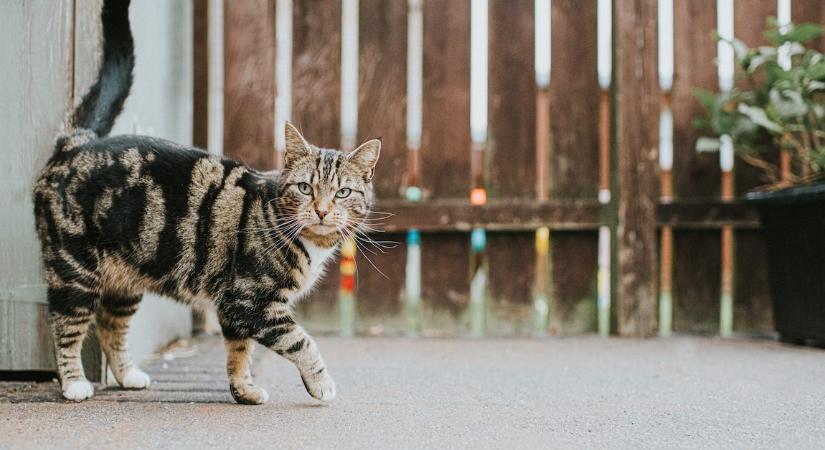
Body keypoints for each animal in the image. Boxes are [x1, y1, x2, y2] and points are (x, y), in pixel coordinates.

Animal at [33, 0, 380, 404]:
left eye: (342, 192)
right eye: (306, 188)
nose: (322, 210)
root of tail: (75, 143)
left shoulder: (234, 310)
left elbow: (239, 352)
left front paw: (244, 390)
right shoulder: (250, 300)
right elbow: (301, 342)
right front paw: (321, 384)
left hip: (125, 279)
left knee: (110, 324)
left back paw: (129, 374)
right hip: (74, 269)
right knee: (66, 326)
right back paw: (74, 383)